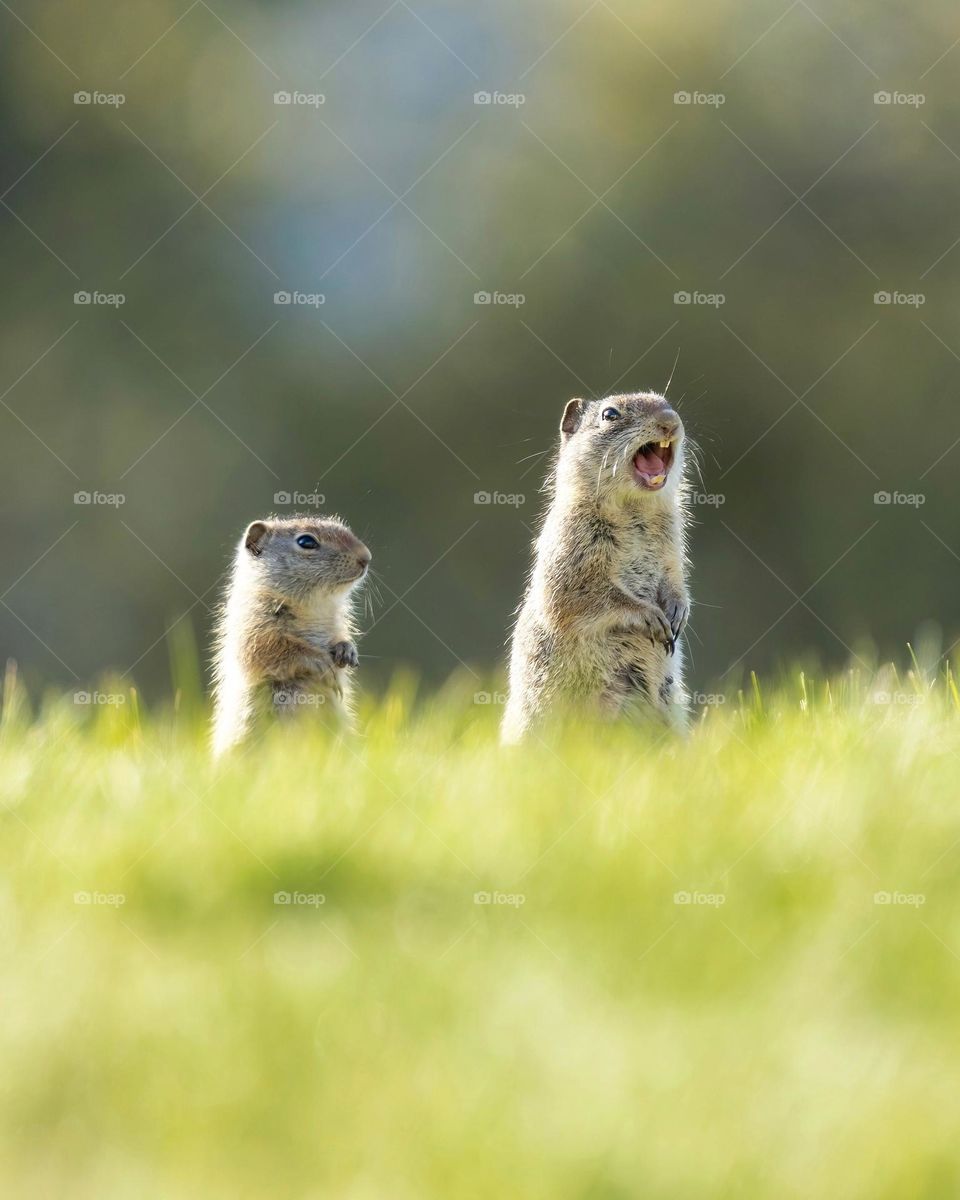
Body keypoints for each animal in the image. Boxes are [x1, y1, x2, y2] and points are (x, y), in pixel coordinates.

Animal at [211, 515, 371, 756]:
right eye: (306, 542)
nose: (366, 557)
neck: (314, 605)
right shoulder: (254, 626)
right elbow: (276, 650)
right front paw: (322, 663)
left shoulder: (336, 623)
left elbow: (339, 638)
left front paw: (347, 650)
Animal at [501, 391, 691, 744]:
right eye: (610, 414)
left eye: (667, 403)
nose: (670, 421)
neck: (635, 510)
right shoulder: (572, 547)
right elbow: (581, 598)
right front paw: (650, 616)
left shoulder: (673, 548)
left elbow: (675, 579)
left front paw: (678, 610)